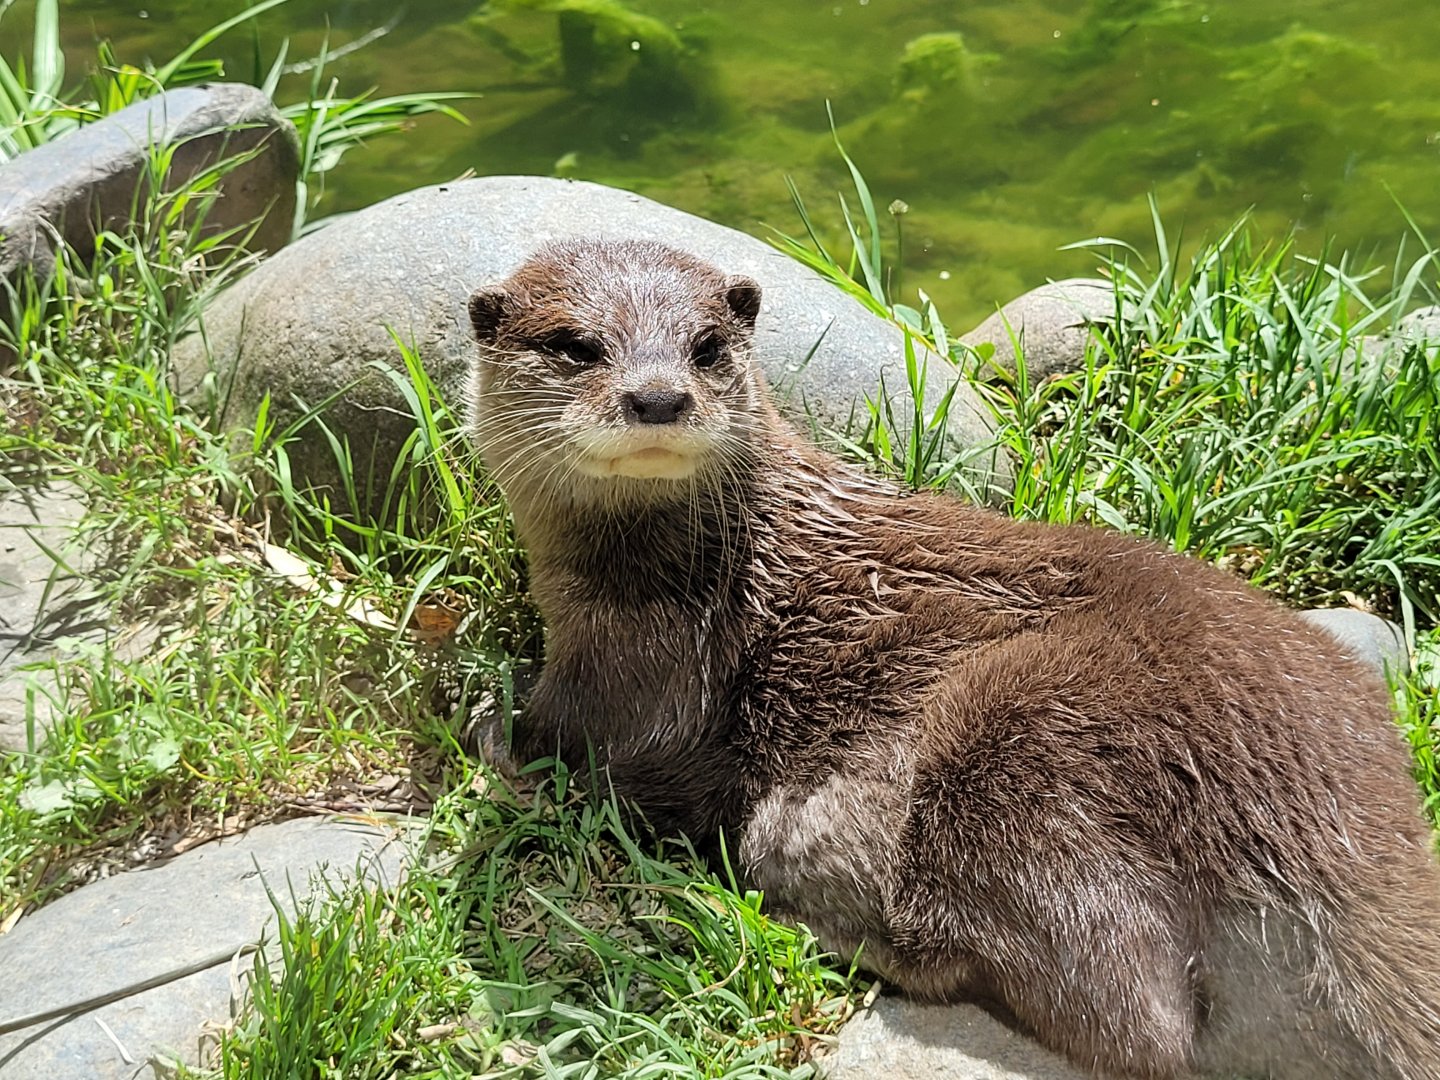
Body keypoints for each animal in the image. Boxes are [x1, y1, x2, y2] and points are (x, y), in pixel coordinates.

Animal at [465, 237, 1440, 1080]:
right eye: (575, 346)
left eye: (706, 347)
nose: (660, 397)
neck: (697, 564)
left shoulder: (651, 675)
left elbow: (569, 750)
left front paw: (487, 723)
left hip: (1021, 724)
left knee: (1137, 1022)